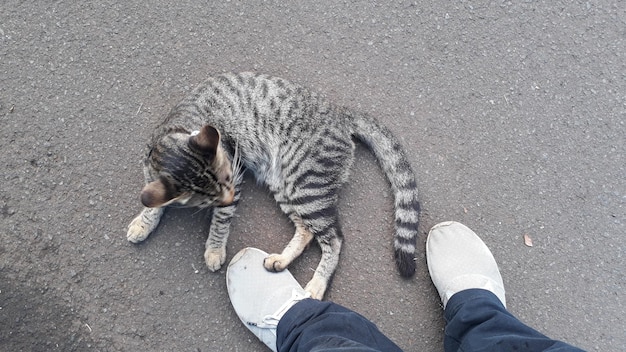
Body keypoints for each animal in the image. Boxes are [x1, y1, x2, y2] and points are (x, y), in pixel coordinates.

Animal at [125, 72, 420, 300]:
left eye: (228, 184)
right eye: (209, 199)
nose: (230, 198)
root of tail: (340, 114)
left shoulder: (236, 173)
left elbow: (220, 223)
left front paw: (214, 249)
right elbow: (153, 200)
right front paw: (144, 222)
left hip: (305, 185)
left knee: (334, 239)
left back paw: (316, 286)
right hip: (285, 184)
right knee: (306, 230)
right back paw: (281, 260)